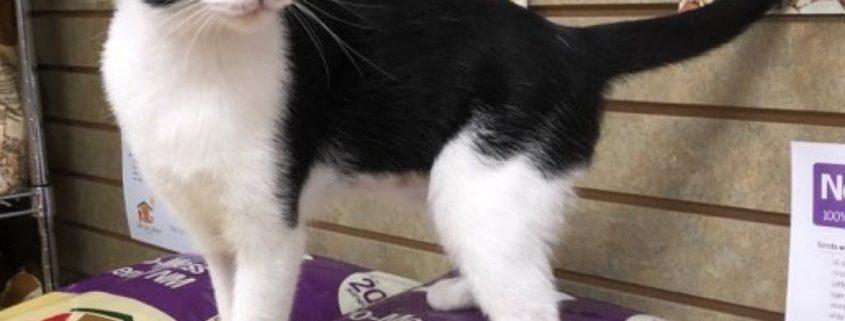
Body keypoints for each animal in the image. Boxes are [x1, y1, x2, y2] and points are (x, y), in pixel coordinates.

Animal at [104, 0, 780, 318]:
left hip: (484, 181)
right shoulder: (215, 238)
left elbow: (257, 308)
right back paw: (458, 294)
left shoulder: (270, 231)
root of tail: (567, 39)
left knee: (533, 300)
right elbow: (227, 299)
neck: (193, 56)